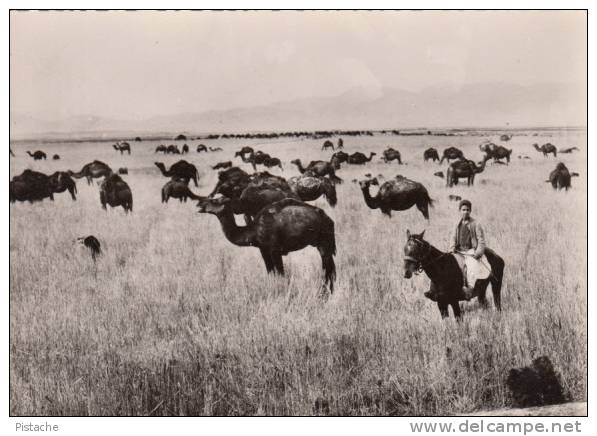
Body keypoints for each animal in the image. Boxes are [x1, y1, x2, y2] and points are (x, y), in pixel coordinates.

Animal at [197, 197, 336, 292]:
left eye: (215, 200)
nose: (200, 204)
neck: (253, 230)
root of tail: (329, 219)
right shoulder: (263, 249)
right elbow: (271, 272)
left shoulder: (275, 249)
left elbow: (281, 274)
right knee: (331, 268)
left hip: (324, 241)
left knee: (327, 269)